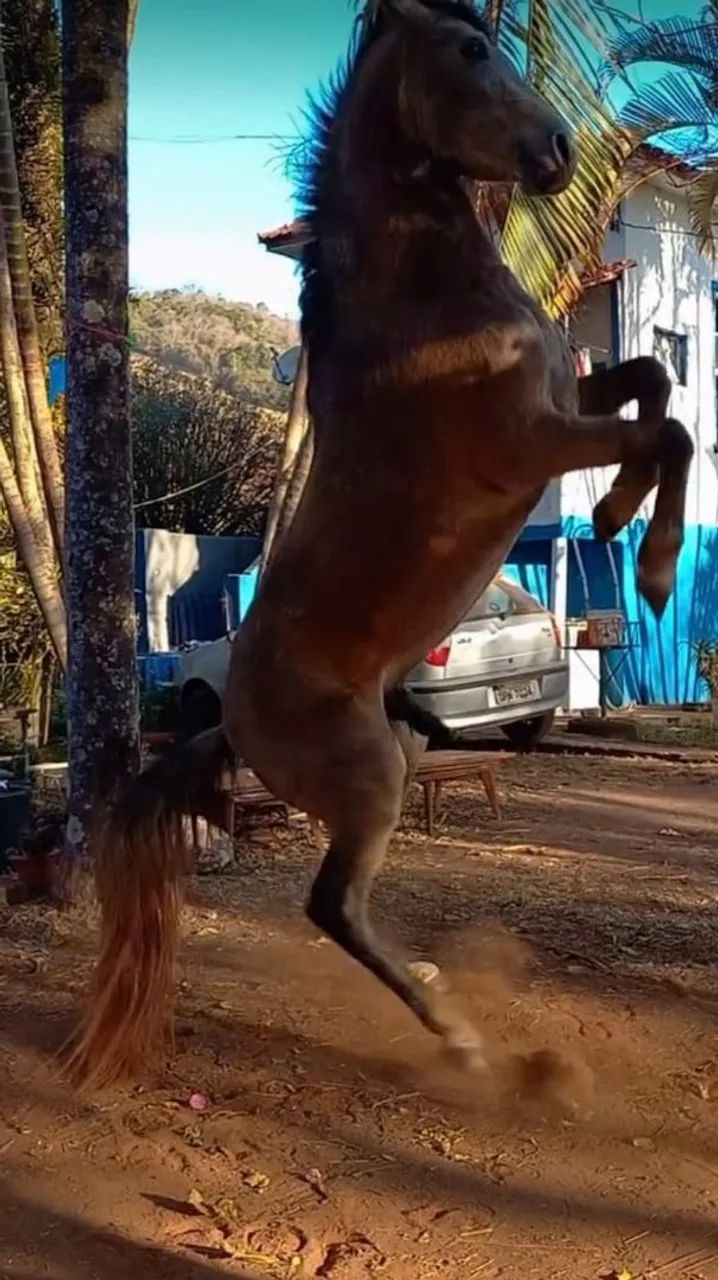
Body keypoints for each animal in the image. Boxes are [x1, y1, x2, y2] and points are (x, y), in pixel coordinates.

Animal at [65, 0, 692, 1089]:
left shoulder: (567, 401)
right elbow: (669, 430)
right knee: (330, 905)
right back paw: (463, 1037)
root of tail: (230, 719)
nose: (558, 152)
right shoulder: (531, 439)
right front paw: (646, 561)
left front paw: (615, 518)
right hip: (370, 780)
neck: (422, 310)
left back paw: (445, 999)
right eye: (472, 50)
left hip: (390, 757)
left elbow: (654, 382)